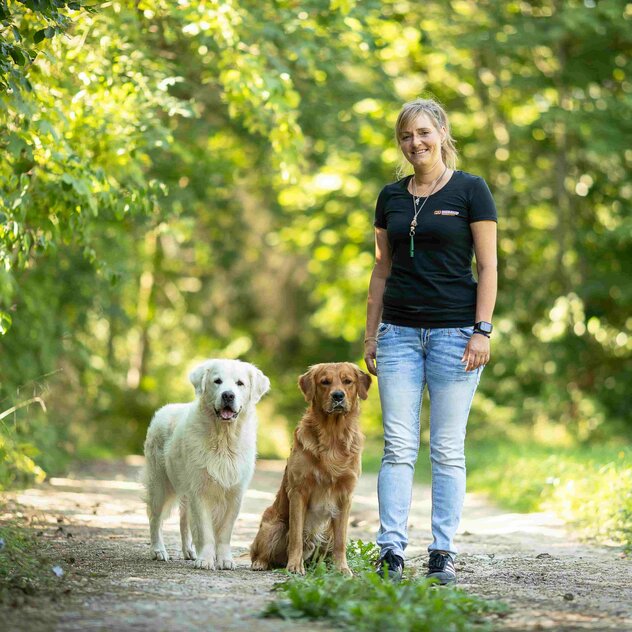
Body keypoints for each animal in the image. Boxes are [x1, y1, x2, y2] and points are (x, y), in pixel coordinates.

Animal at [141, 358, 270, 572]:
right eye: (217, 381)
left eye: (240, 383)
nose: (228, 395)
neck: (223, 439)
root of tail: (163, 410)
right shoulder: (200, 491)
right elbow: (205, 530)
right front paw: (206, 560)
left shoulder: (235, 493)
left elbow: (225, 532)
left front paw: (225, 560)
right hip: (160, 484)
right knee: (155, 519)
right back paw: (158, 551)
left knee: (183, 520)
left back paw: (189, 551)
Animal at [251, 362, 370, 576]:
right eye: (325, 382)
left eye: (348, 381)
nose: (338, 396)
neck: (332, 435)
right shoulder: (299, 491)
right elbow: (296, 536)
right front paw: (294, 566)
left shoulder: (345, 496)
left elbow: (341, 540)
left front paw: (342, 568)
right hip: (273, 527)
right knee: (260, 552)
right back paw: (260, 563)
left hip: (326, 532)